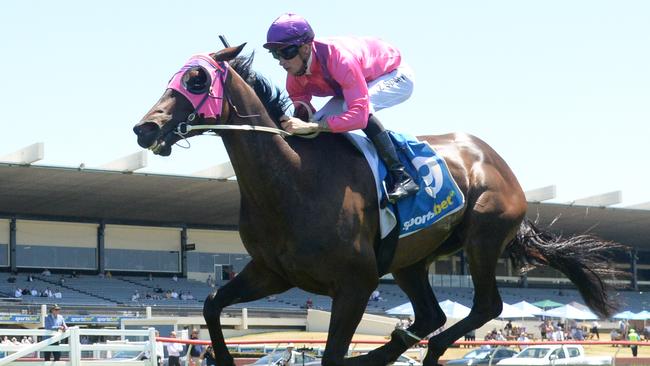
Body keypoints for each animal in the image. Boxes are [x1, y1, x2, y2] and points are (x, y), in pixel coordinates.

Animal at [133, 45, 624, 366]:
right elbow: (212, 304)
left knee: (485, 307)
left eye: (196, 78)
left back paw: (428, 351)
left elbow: (332, 355)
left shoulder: (356, 283)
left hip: (484, 236)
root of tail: (495, 162)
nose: (145, 128)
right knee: (431, 314)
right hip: (411, 260)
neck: (292, 178)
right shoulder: (272, 272)